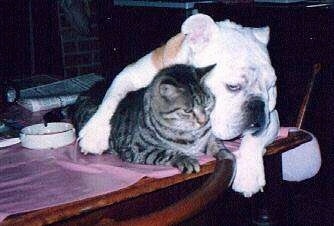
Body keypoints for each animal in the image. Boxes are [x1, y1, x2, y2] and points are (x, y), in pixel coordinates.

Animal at [43, 64, 232, 174]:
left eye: (208, 105)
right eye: (188, 111)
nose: (203, 120)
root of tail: (80, 98)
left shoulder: (208, 137)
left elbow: (216, 144)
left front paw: (226, 155)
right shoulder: (136, 149)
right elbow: (167, 152)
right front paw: (186, 159)